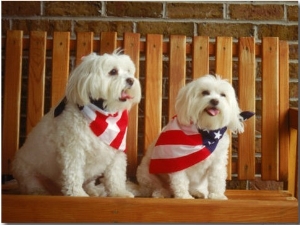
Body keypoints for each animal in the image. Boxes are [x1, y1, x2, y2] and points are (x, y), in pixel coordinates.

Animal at [12, 51, 141, 197]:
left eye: (128, 71)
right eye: (113, 71)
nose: (131, 80)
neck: (103, 112)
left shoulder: (116, 149)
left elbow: (116, 174)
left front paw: (119, 192)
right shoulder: (73, 148)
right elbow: (73, 172)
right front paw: (77, 193)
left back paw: (93, 190)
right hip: (26, 172)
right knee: (31, 184)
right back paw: (39, 191)